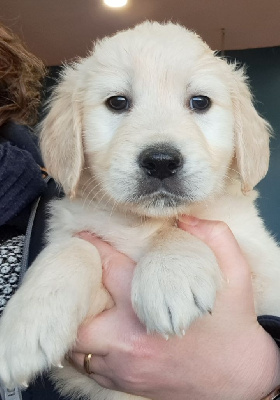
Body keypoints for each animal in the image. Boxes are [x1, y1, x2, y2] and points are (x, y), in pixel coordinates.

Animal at [0, 21, 280, 400]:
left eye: (200, 102)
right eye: (117, 102)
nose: (161, 161)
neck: (143, 222)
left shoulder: (260, 261)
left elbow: (184, 225)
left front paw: (171, 274)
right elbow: (74, 247)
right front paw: (28, 325)